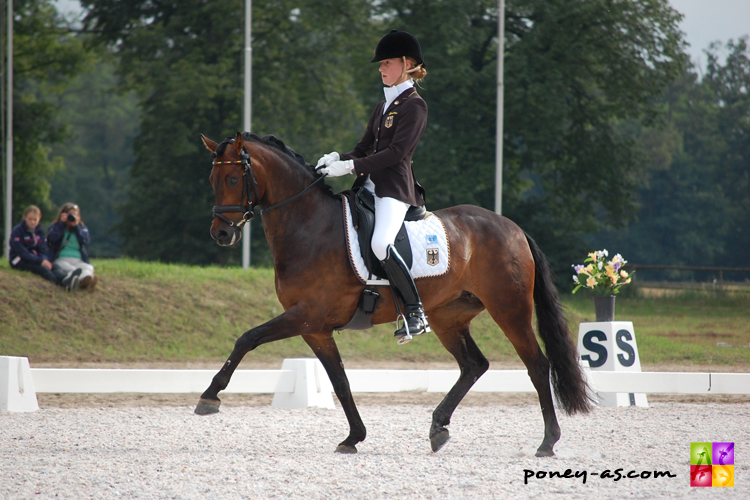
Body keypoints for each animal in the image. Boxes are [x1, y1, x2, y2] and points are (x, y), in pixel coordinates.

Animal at [195, 132, 592, 458]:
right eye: (212, 180)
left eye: (233, 179)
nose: (221, 233)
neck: (308, 225)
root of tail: (513, 228)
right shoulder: (315, 328)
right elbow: (340, 381)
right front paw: (353, 437)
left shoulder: (305, 315)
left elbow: (247, 338)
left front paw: (209, 396)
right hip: (449, 315)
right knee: (474, 365)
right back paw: (438, 428)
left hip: (509, 309)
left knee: (537, 365)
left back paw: (547, 442)